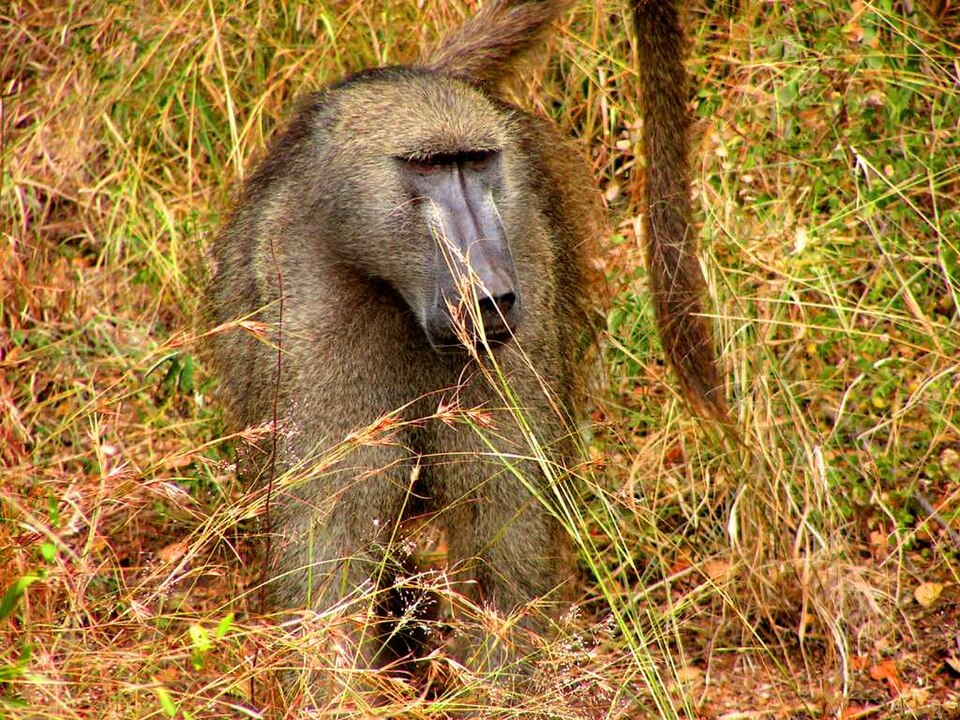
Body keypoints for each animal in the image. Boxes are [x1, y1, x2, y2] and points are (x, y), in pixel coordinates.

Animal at [206, 0, 724, 687]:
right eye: (428, 167)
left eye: (476, 163)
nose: (490, 297)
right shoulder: (305, 321)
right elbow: (328, 568)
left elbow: (501, 568)